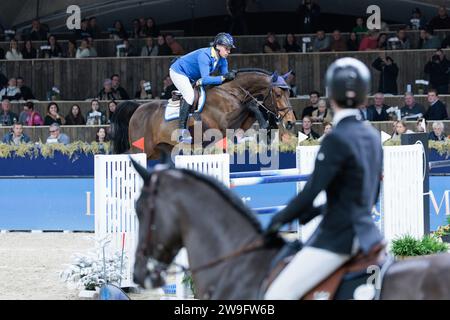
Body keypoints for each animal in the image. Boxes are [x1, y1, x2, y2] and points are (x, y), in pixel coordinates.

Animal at [110, 70, 298, 160]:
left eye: (289, 93)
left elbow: (252, 109)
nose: (290, 122)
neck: (231, 92)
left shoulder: (238, 125)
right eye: (278, 94)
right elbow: (250, 106)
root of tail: (137, 109)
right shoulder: (224, 123)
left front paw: (269, 126)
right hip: (142, 149)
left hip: (160, 150)